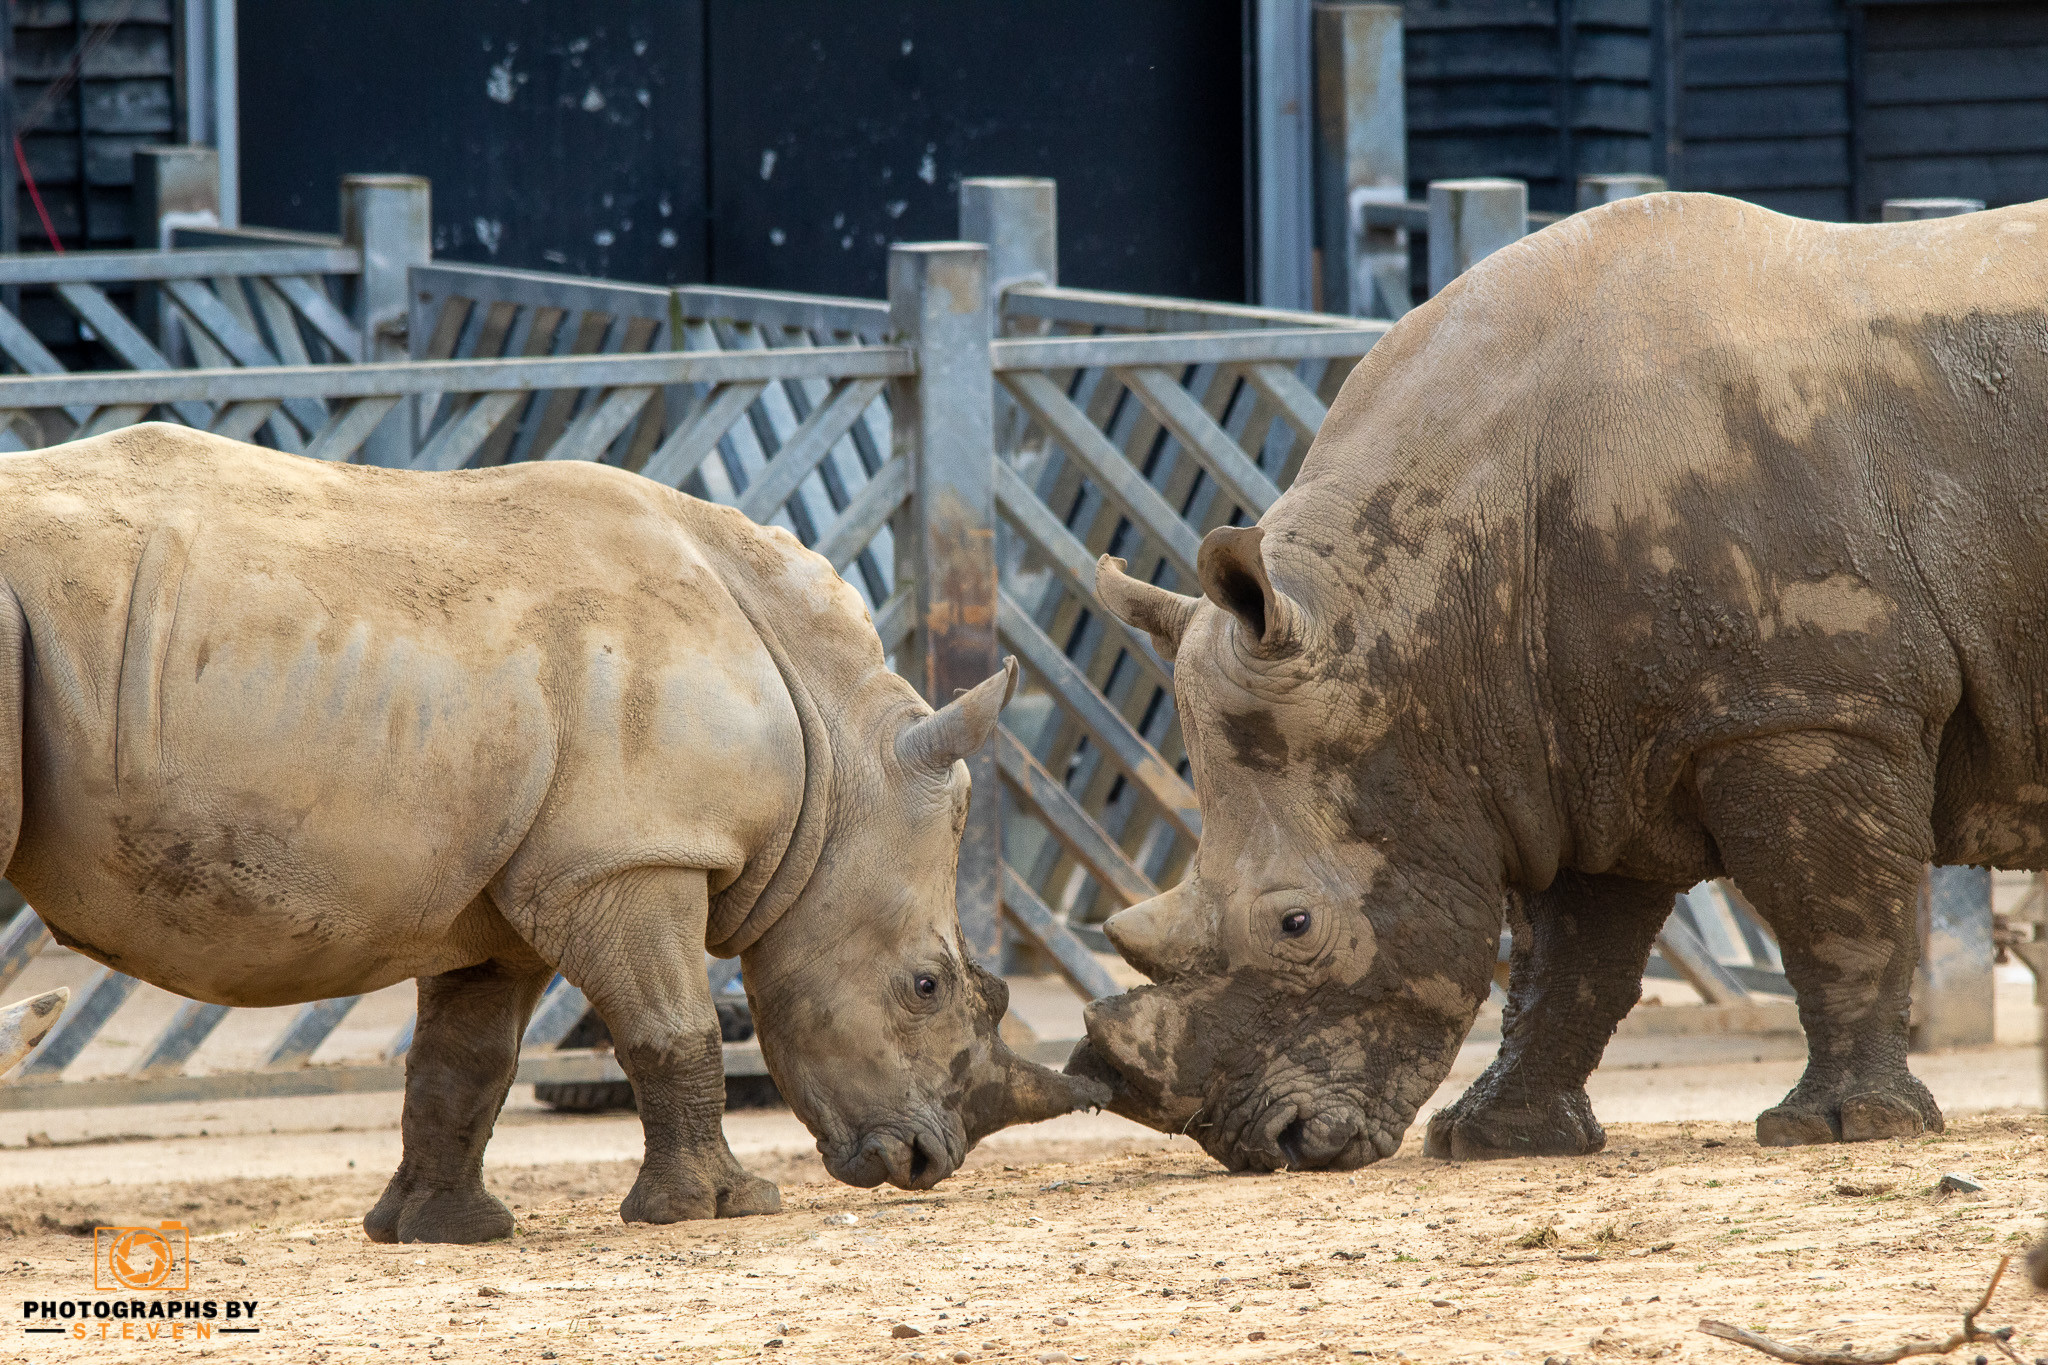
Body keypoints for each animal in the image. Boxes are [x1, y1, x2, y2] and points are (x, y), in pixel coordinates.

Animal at [0, 424, 1102, 1240]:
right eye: (927, 987)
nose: (924, 1162)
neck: (837, 767)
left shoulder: (510, 885)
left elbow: (465, 1061)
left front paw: (441, 1231)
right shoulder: (633, 854)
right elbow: (677, 1026)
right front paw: (719, 1210)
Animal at [1071, 193, 2048, 1171]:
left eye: (1296, 925)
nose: (1265, 1141)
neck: (1411, 611)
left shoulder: (1808, 708)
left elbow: (1837, 914)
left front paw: (1843, 1126)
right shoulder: (1574, 744)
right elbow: (1568, 963)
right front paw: (1493, 1139)